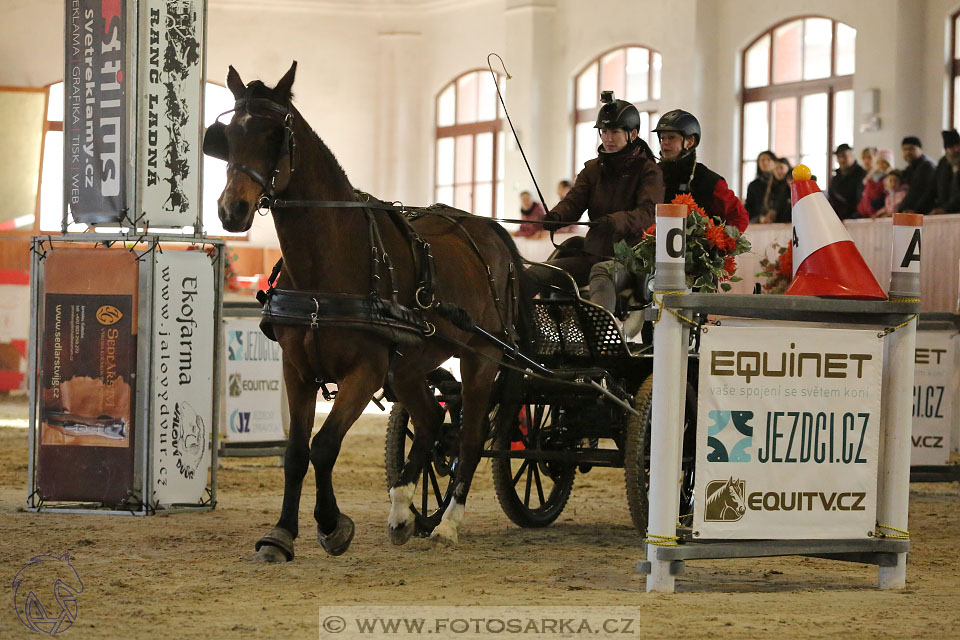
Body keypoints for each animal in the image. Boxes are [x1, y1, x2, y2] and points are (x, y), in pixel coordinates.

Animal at [210, 61, 528, 560]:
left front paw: (332, 525)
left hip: (482, 358)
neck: (327, 266)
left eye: (275, 134)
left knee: (471, 437)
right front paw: (280, 534)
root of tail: (490, 229)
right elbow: (296, 452)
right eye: (230, 135)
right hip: (410, 367)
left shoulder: (365, 370)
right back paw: (402, 512)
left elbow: (324, 446)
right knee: (431, 422)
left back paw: (448, 523)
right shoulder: (297, 369)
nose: (232, 209)